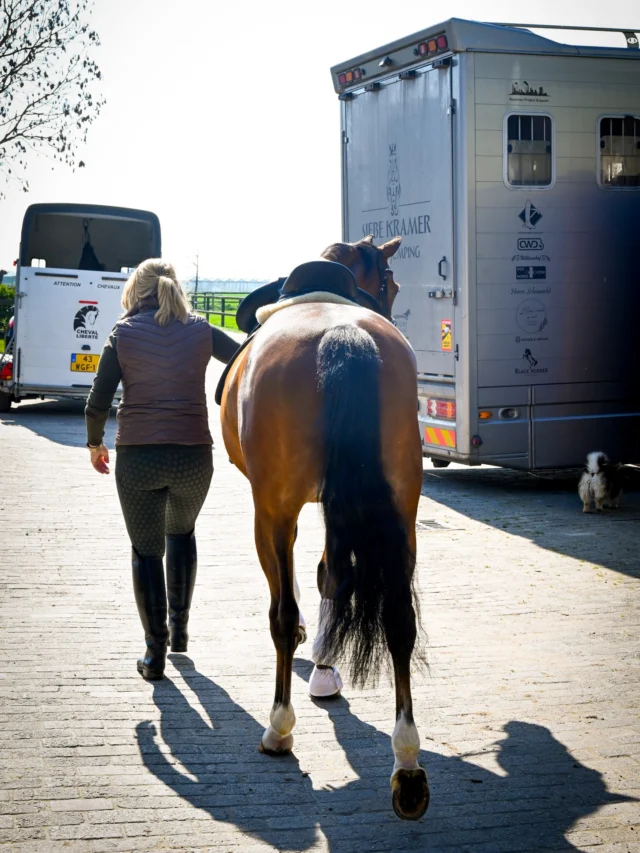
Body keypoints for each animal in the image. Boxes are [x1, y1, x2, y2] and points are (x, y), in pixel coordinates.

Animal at [220, 235, 429, 820]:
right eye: (392, 284)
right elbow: (333, 576)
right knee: (399, 620)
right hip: (402, 507)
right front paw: (327, 667)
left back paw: (278, 726)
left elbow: (292, 596)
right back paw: (407, 764)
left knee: (282, 612)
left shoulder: (275, 509)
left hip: (275, 508)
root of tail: (343, 333)